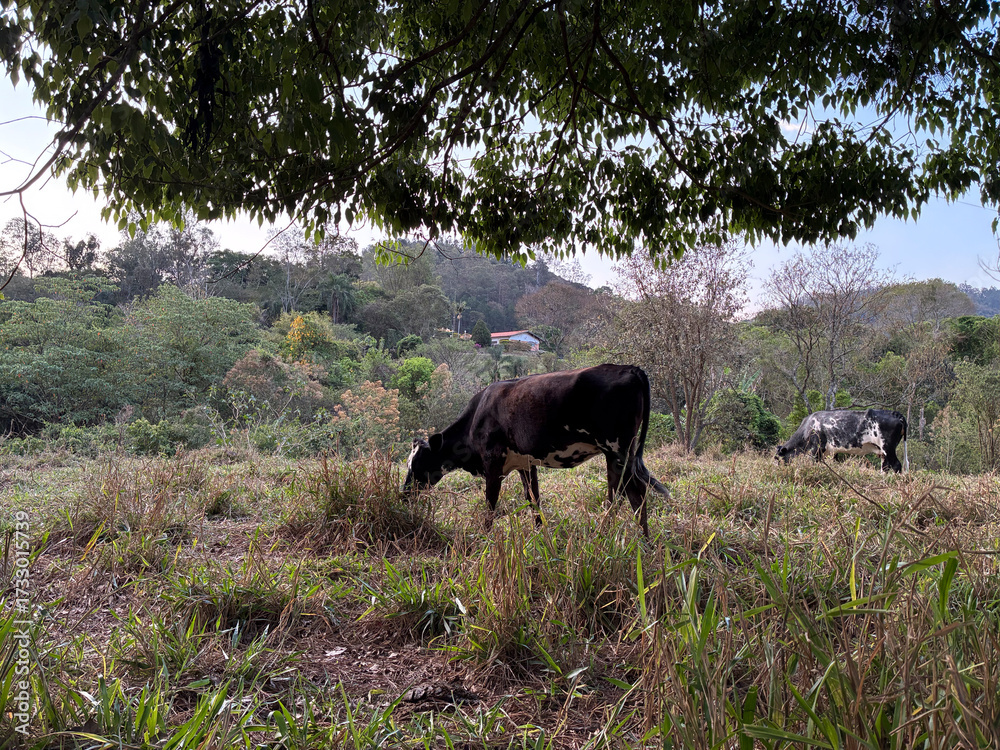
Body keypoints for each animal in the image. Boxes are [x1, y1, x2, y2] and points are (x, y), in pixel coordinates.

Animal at [403, 364, 669, 536]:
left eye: (418, 463)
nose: (403, 494)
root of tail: (629, 368)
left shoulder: (493, 462)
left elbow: (490, 503)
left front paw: (483, 538)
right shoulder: (525, 463)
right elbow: (533, 500)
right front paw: (541, 538)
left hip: (617, 449)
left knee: (631, 493)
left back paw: (617, 540)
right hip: (618, 454)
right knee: (624, 494)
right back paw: (634, 542)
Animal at [776, 409, 908, 472]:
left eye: (778, 459)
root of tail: (895, 413)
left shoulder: (816, 448)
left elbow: (814, 463)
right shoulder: (831, 451)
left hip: (888, 447)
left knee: (896, 465)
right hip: (883, 451)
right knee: (885, 467)